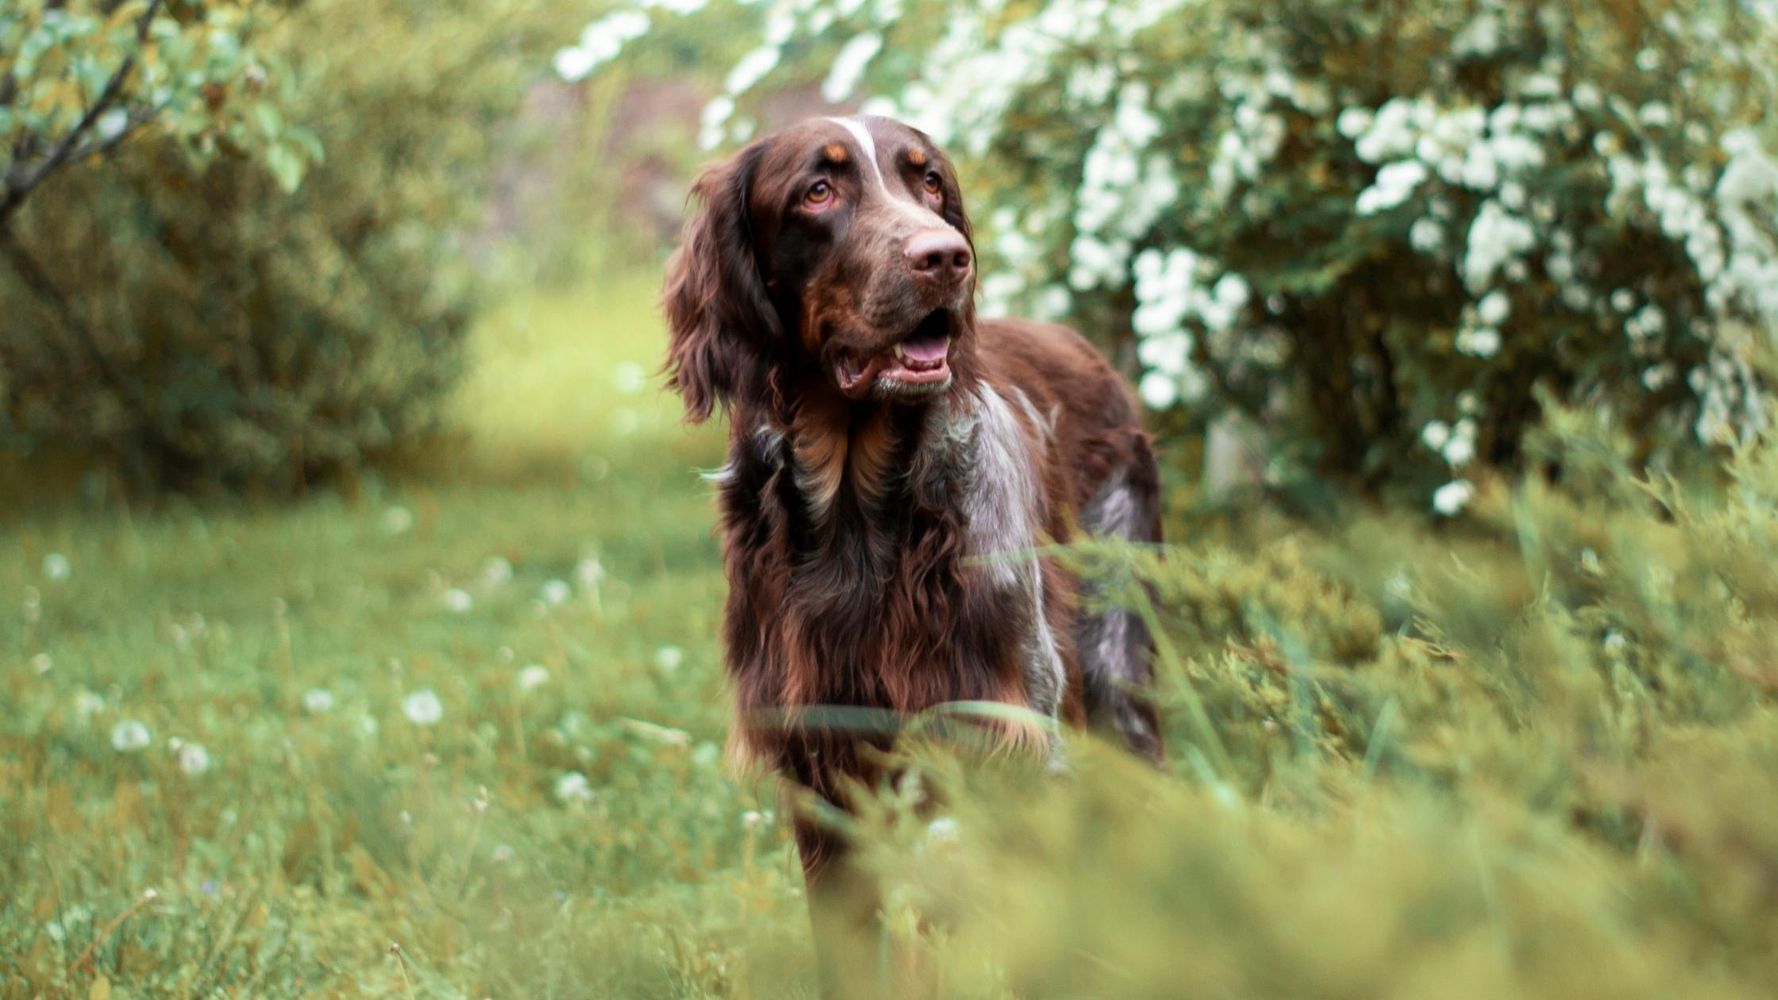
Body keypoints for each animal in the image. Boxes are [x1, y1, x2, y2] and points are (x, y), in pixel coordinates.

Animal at [661, 110, 1159, 989]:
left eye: (929, 181)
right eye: (817, 191)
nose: (946, 257)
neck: (855, 516)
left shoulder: (1009, 742)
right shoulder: (825, 779)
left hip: (1114, 678)